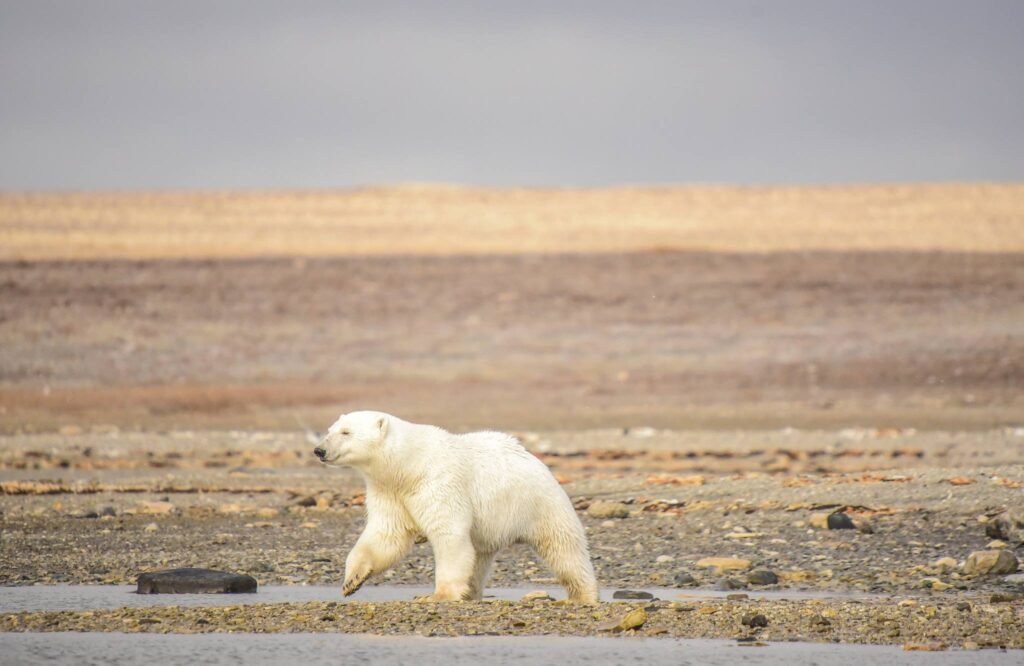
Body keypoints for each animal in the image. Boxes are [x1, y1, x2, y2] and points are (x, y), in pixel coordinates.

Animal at [313, 410, 599, 603]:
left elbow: (449, 535)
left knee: (564, 548)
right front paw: (351, 580)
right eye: (330, 429)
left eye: (346, 432)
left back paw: (582, 595)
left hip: (538, 503)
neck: (408, 466)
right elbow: (385, 534)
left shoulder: (438, 482)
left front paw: (437, 596)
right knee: (479, 558)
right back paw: (471, 593)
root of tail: (534, 457)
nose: (319, 450)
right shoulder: (388, 491)